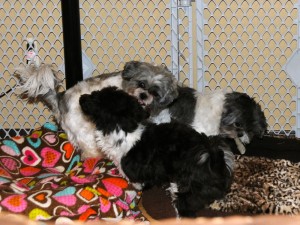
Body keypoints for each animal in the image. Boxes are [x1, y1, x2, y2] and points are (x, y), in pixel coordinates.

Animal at [78, 86, 233, 218]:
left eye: (94, 96)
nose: (81, 97)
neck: (124, 127)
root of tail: (212, 159)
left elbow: (136, 182)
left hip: (188, 190)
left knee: (185, 207)